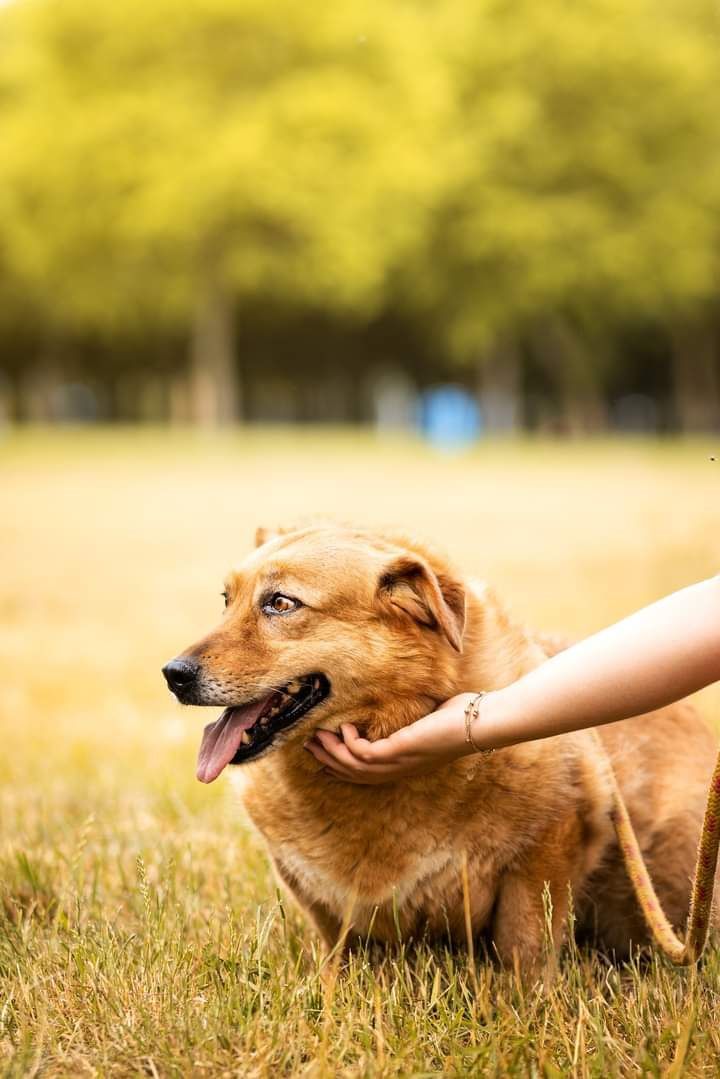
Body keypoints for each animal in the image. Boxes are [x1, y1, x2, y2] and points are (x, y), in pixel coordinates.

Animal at [162, 522, 720, 971]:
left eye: (281, 603)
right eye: (226, 601)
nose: (173, 674)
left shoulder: (545, 854)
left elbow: (524, 953)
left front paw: (525, 1012)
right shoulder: (320, 902)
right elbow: (338, 961)